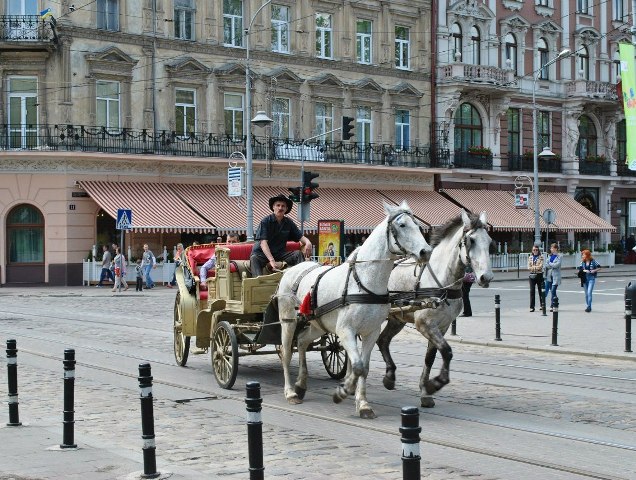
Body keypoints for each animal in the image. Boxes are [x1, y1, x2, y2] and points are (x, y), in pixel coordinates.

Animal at [274, 201, 430, 418]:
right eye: (402, 225)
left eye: (418, 224)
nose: (426, 251)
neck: (364, 281)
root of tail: (291, 270)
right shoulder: (345, 331)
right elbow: (356, 366)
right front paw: (343, 391)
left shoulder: (371, 332)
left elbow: (364, 367)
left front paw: (362, 403)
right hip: (288, 321)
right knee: (287, 352)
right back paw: (290, 392)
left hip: (318, 324)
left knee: (303, 341)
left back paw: (301, 385)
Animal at [376, 208, 494, 406]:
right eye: (471, 240)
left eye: (490, 241)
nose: (486, 277)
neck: (442, 280)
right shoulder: (425, 324)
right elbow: (447, 351)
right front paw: (436, 383)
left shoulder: (442, 326)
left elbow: (430, 357)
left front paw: (425, 391)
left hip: (396, 319)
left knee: (382, 340)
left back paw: (389, 377)